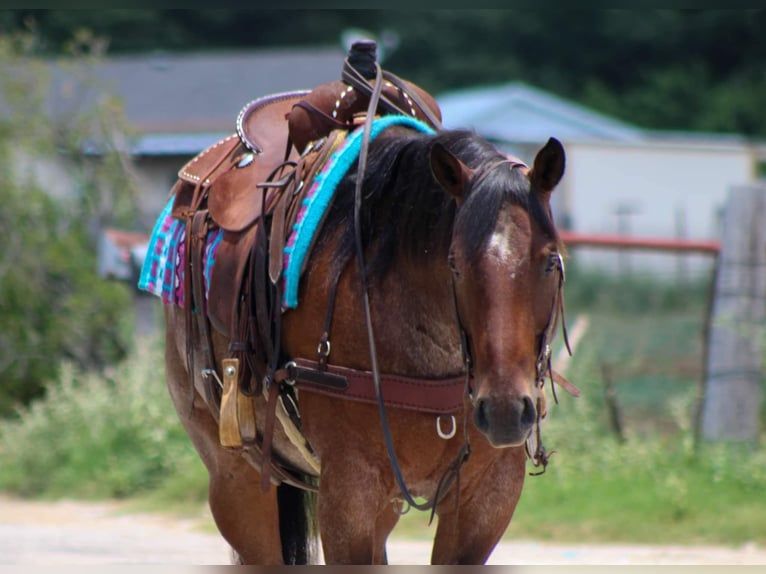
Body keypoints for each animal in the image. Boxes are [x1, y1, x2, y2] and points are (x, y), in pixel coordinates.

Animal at [158, 44, 576, 568]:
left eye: (551, 262)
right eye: (455, 264)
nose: (503, 409)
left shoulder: (487, 497)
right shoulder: (349, 495)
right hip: (236, 482)